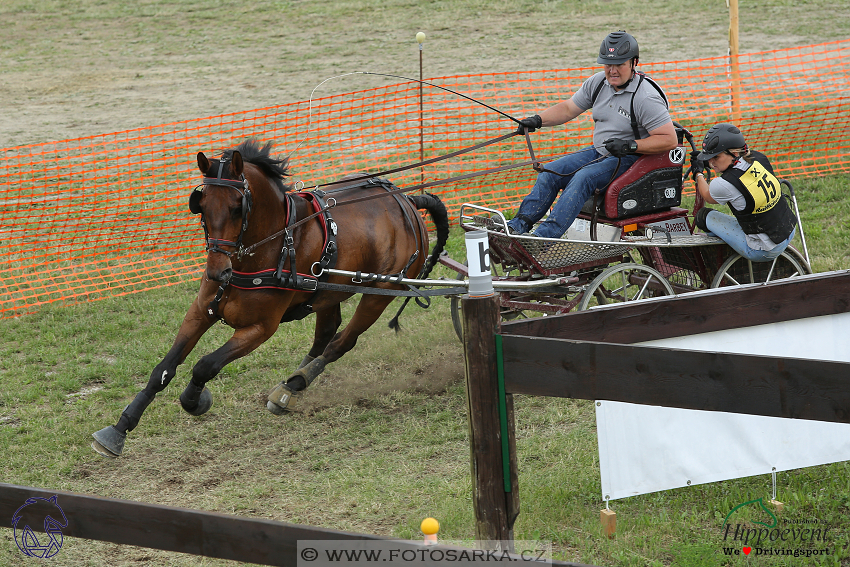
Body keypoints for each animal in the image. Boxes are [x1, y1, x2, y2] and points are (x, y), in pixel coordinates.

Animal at [92, 140, 448, 460]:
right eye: (201, 205)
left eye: (238, 207)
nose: (218, 271)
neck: (269, 245)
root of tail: (406, 201)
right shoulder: (200, 311)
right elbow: (163, 369)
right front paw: (119, 430)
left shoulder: (261, 328)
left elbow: (206, 364)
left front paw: (195, 400)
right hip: (327, 293)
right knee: (325, 333)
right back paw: (289, 387)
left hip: (379, 295)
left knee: (341, 342)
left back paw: (296, 383)